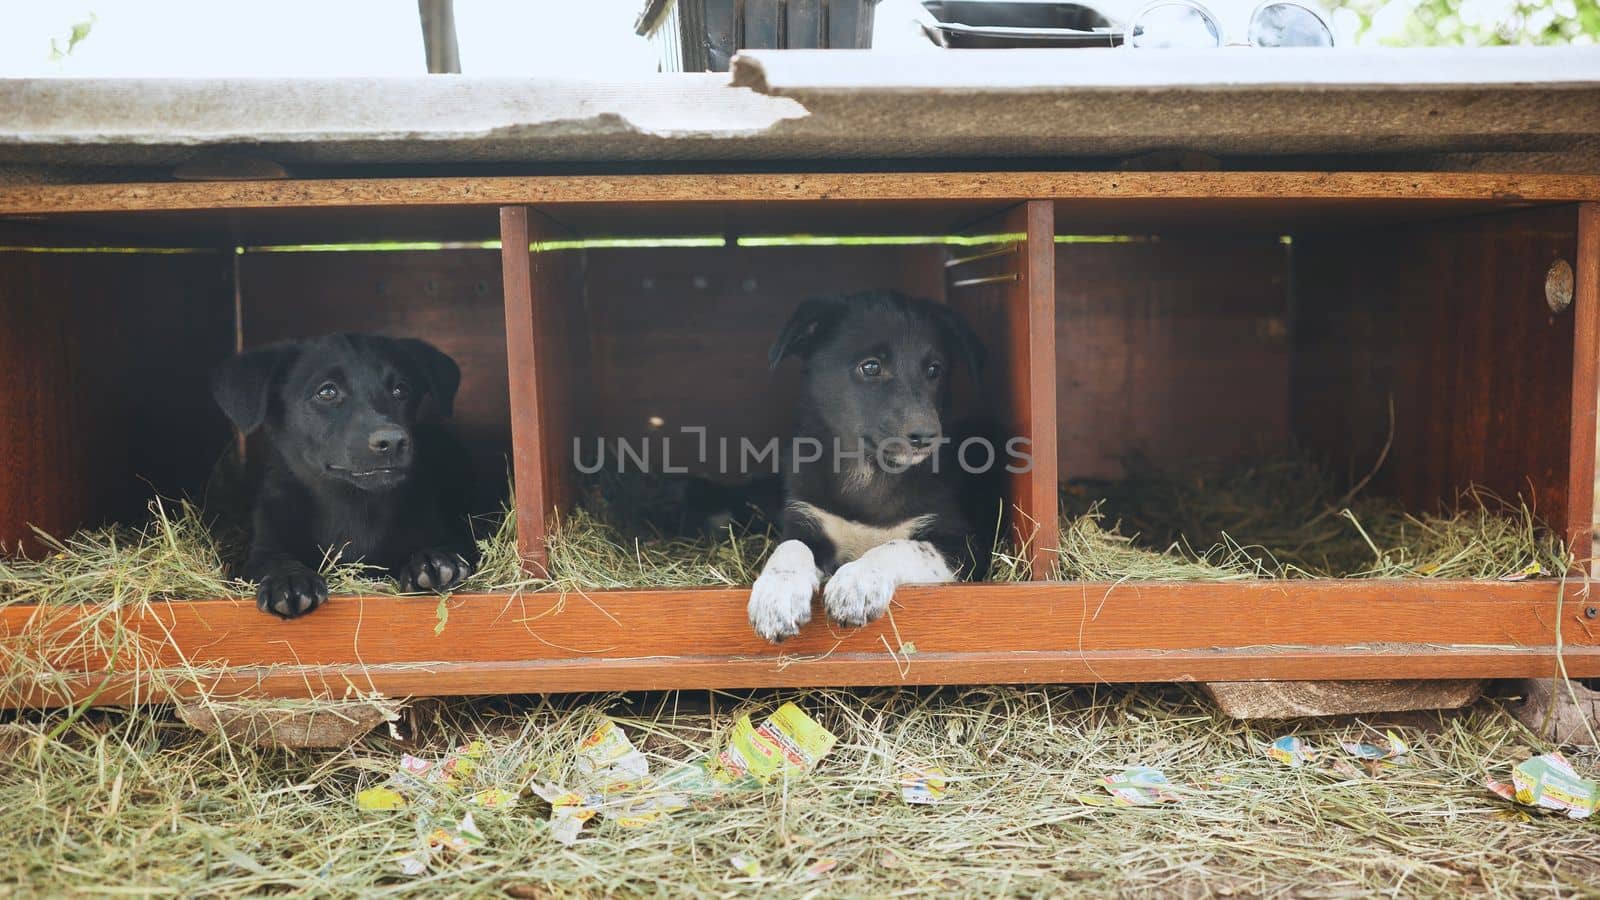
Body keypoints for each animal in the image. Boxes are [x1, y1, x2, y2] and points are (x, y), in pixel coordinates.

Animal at [211, 329, 480, 614]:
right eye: (327, 391)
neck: (352, 504)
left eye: (401, 390)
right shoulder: (263, 545)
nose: (393, 441)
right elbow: (271, 560)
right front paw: (289, 578)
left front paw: (435, 559)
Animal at [745, 291, 985, 640]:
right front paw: (776, 596)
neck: (870, 472)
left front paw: (857, 583)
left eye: (934, 369)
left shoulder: (965, 547)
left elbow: (900, 546)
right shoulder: (805, 517)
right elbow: (790, 547)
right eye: (871, 366)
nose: (927, 436)